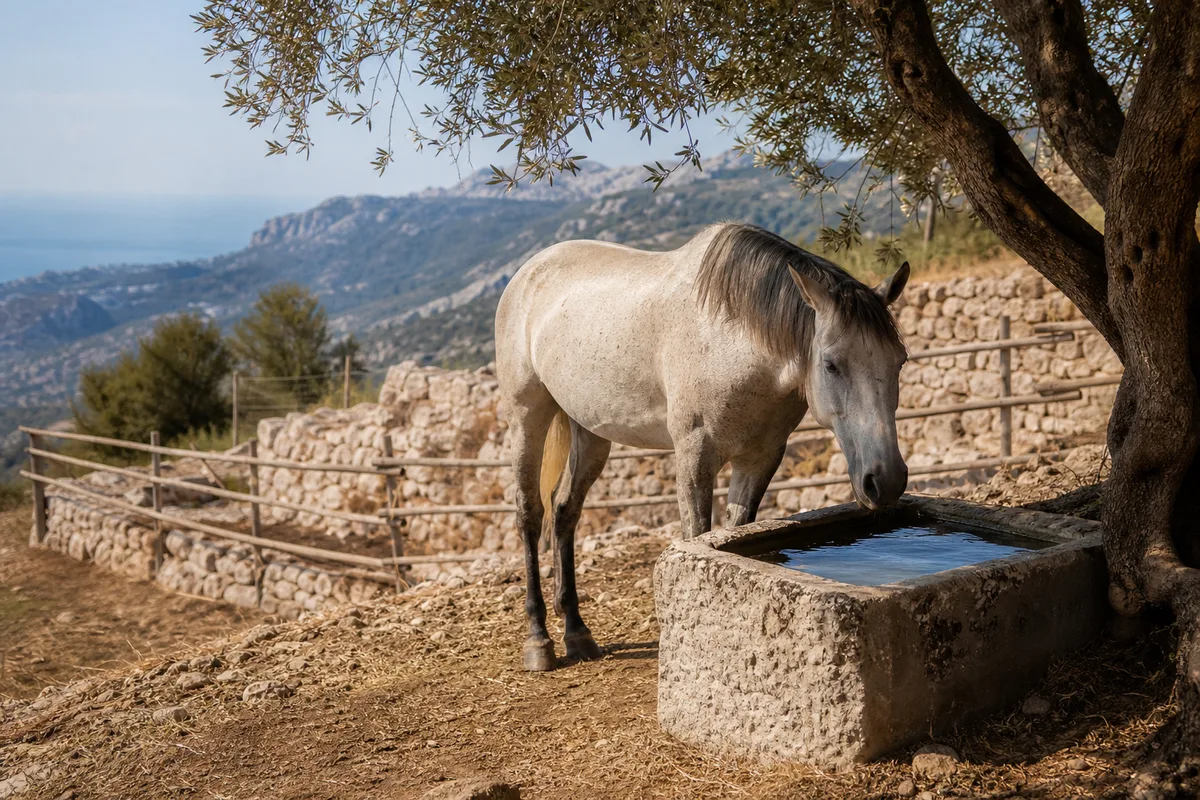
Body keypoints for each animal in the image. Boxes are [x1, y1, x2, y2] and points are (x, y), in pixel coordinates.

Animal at [494, 222, 910, 671]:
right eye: (832, 364)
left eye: (900, 360)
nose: (885, 480)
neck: (732, 337)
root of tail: (528, 272)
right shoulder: (695, 456)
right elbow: (697, 537)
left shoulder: (760, 458)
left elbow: (735, 535)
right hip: (527, 418)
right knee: (529, 513)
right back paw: (538, 639)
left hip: (589, 431)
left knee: (564, 510)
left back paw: (576, 631)